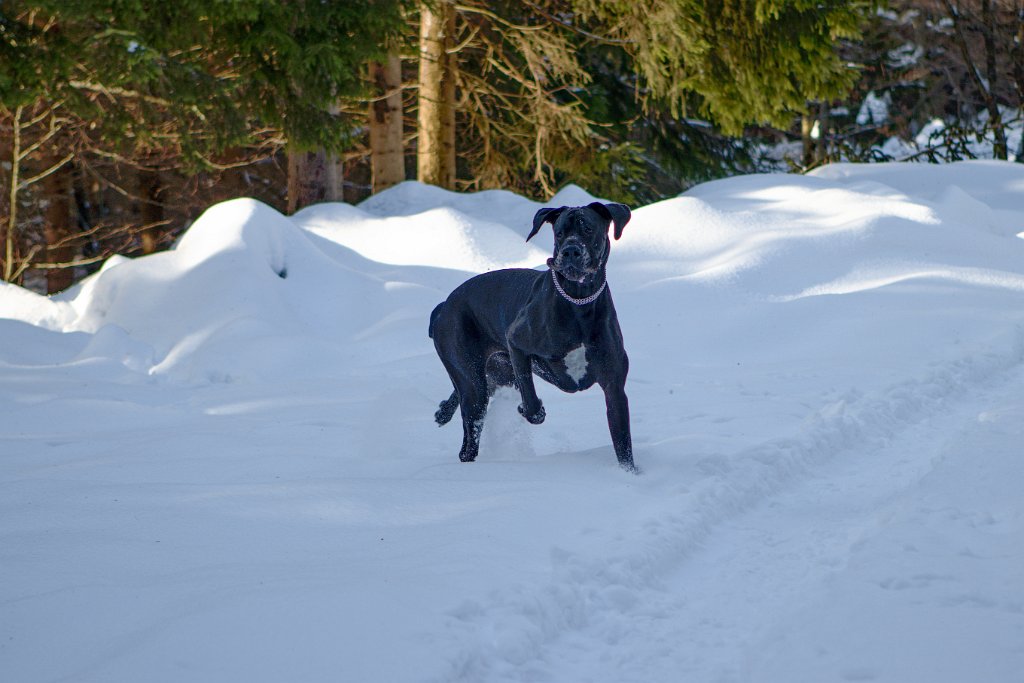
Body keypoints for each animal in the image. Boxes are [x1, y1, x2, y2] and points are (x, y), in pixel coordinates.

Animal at [428, 200, 634, 473]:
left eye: (588, 229)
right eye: (559, 233)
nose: (570, 251)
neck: (578, 300)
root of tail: (444, 307)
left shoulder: (614, 387)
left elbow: (623, 445)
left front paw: (630, 476)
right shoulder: (516, 343)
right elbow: (532, 402)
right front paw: (529, 409)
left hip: (488, 376)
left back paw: (443, 412)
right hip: (473, 384)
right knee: (469, 439)